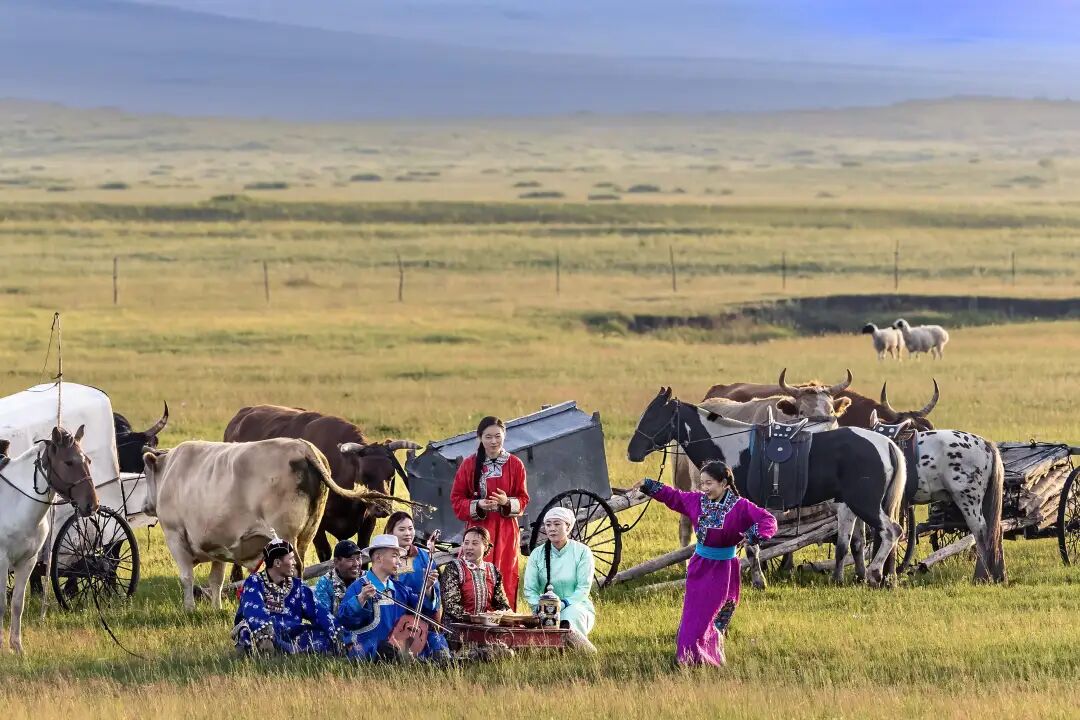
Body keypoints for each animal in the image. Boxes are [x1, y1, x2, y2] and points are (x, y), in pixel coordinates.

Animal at [0, 427, 99, 654]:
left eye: (88, 461)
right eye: (69, 462)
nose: (92, 505)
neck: (14, 503)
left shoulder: (27, 562)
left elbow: (17, 604)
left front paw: (17, 647)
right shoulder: (1, 561)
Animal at [141, 438, 406, 610]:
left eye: (145, 473)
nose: (145, 505)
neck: (171, 471)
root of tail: (303, 448)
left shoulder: (175, 536)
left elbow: (186, 577)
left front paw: (189, 609)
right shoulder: (217, 545)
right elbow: (216, 580)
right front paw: (216, 608)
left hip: (285, 534)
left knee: (295, 568)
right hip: (307, 533)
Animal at [223, 405, 420, 562]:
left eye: (391, 475)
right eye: (365, 474)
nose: (383, 508)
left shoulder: (367, 521)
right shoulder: (316, 525)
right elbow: (325, 553)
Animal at [627, 388, 907, 586]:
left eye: (654, 416)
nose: (632, 452)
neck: (733, 447)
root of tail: (887, 444)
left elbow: (752, 546)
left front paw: (758, 580)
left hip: (865, 503)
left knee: (891, 531)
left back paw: (874, 574)